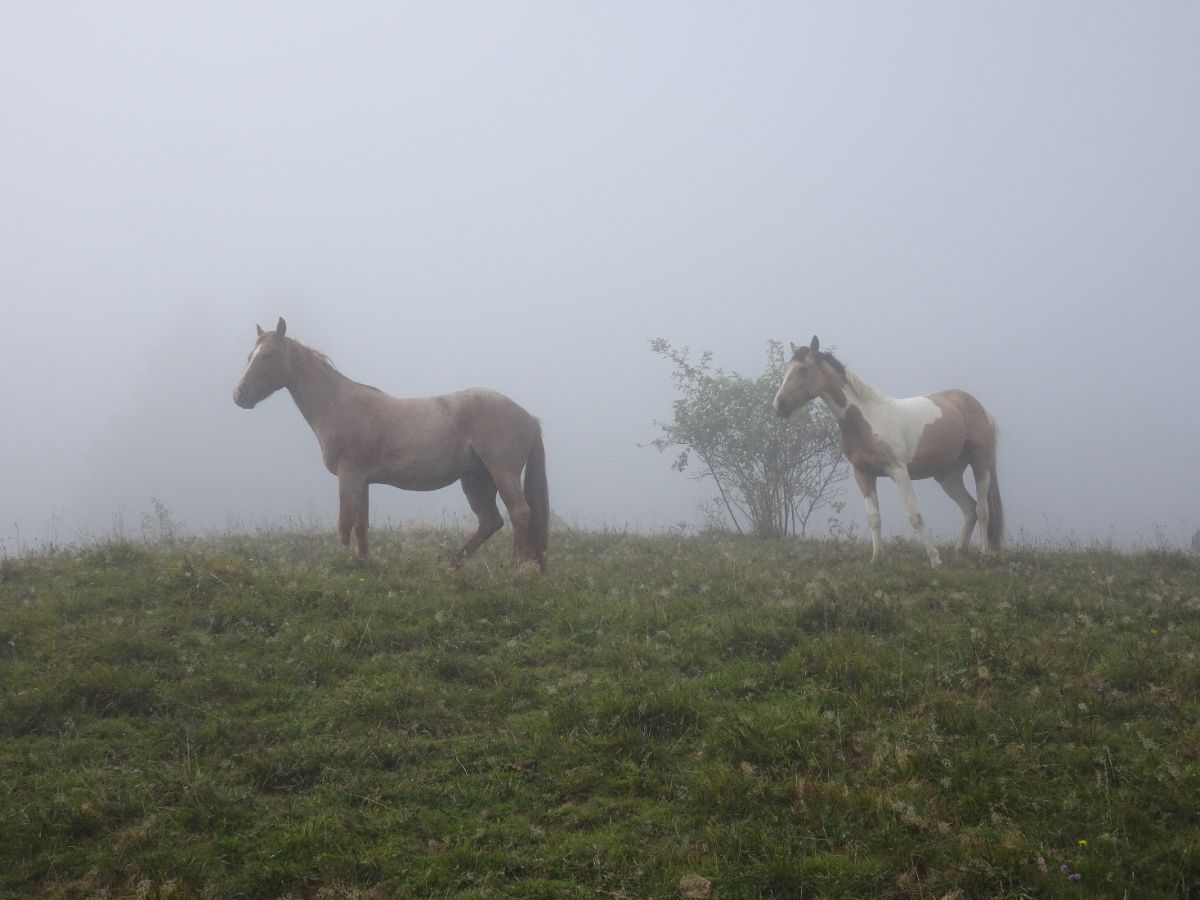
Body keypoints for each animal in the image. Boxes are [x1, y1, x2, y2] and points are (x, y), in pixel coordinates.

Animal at [232, 316, 549, 571]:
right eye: (250, 355)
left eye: (267, 356)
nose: (239, 395)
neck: (338, 405)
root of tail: (529, 417)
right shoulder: (362, 481)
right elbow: (361, 524)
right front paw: (363, 562)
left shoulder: (349, 476)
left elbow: (345, 522)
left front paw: (342, 563)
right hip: (475, 480)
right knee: (491, 521)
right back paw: (452, 565)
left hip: (502, 472)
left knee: (519, 513)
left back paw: (519, 568)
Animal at [772, 336, 998, 566]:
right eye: (787, 369)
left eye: (802, 369)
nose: (778, 405)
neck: (868, 420)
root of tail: (978, 407)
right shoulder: (863, 473)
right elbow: (874, 518)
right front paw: (876, 559)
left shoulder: (898, 471)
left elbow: (914, 516)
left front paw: (935, 559)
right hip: (947, 475)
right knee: (969, 509)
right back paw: (959, 551)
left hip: (980, 463)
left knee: (982, 509)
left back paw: (984, 552)